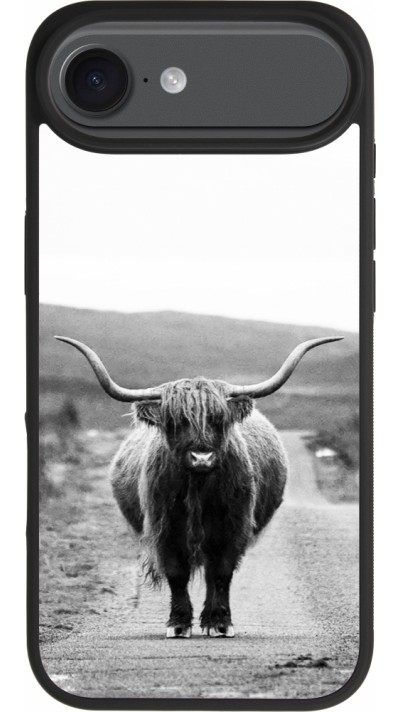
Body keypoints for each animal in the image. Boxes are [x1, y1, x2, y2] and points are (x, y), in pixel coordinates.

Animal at [56, 334, 342, 638]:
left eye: (218, 419)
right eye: (175, 421)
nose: (201, 457)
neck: (198, 488)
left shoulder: (233, 527)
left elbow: (222, 573)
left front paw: (220, 622)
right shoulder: (165, 528)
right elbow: (177, 573)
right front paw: (178, 623)